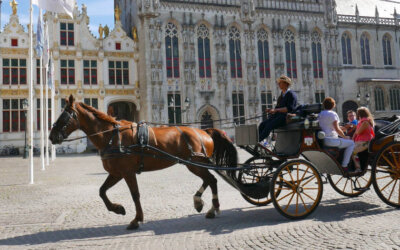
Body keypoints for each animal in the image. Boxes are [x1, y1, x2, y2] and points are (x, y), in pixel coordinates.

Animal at [49, 94, 238, 229]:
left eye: (64, 116)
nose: (51, 136)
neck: (111, 136)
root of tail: (205, 131)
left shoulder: (127, 172)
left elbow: (135, 194)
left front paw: (136, 219)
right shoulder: (116, 173)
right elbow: (102, 191)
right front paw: (118, 209)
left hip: (194, 163)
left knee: (211, 180)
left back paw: (213, 208)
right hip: (193, 164)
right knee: (210, 180)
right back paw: (202, 204)